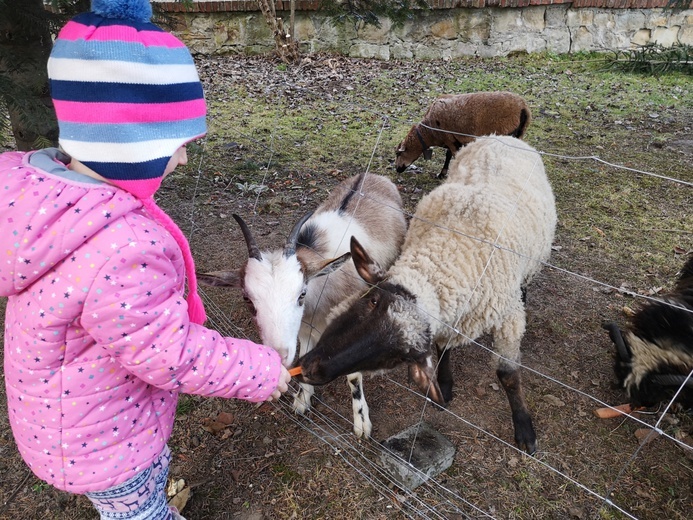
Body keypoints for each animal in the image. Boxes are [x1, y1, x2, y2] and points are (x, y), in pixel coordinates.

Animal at [199, 173, 406, 436]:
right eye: (247, 299)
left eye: (301, 294)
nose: (279, 356)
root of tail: (371, 175)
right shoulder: (306, 327)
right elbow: (306, 355)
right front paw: (302, 399)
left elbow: (353, 375)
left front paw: (361, 422)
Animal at [294, 136, 556, 452]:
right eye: (371, 300)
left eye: (396, 356)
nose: (309, 367)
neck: (450, 254)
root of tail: (501, 136)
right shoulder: (451, 316)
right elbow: (443, 350)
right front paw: (444, 385)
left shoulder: (506, 320)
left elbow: (508, 375)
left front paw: (524, 429)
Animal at [394, 90, 528, 178]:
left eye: (398, 154)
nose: (396, 169)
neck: (429, 132)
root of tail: (523, 108)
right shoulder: (453, 139)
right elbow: (448, 156)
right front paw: (442, 173)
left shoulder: (450, 139)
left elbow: (455, 156)